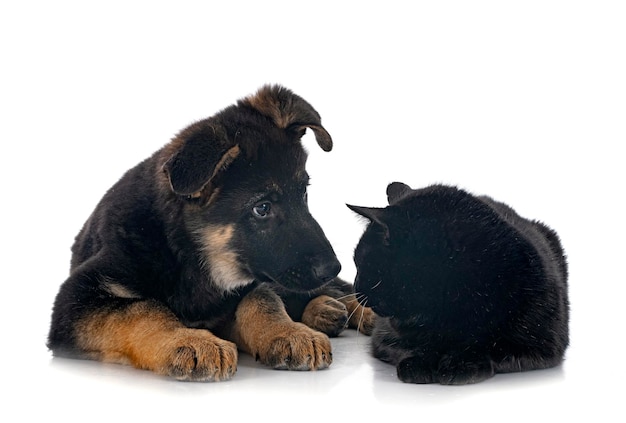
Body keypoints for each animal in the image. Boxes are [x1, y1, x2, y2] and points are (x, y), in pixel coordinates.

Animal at [50, 85, 370, 380]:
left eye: (303, 194)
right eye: (262, 208)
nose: (332, 267)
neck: (184, 253)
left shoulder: (248, 284)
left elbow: (262, 299)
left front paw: (287, 332)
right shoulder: (76, 299)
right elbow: (142, 309)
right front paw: (188, 340)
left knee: (339, 289)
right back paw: (326, 311)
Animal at [348, 184, 568, 386]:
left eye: (361, 263)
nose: (356, 290)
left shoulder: (540, 346)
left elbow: (490, 349)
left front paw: (461, 364)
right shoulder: (382, 337)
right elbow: (410, 346)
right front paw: (420, 363)